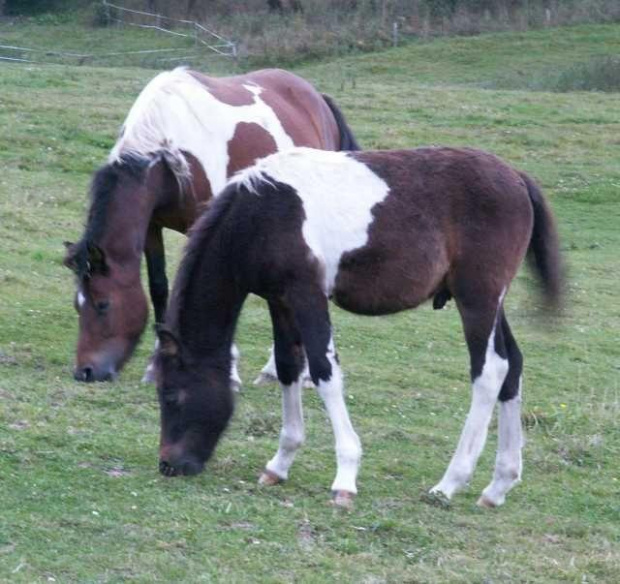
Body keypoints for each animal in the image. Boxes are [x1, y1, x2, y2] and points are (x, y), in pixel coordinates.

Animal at [63, 67, 358, 384]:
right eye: (77, 304)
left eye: (103, 304)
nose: (85, 371)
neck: (168, 151)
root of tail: (317, 99)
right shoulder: (151, 227)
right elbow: (159, 288)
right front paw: (156, 366)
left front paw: (229, 371)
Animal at [154, 145, 560, 506]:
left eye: (172, 395)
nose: (169, 465)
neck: (261, 214)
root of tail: (518, 178)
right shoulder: (279, 300)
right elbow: (287, 366)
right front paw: (279, 465)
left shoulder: (307, 294)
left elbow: (324, 371)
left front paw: (345, 480)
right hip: (492, 303)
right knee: (513, 365)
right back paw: (498, 485)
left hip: (477, 298)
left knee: (490, 371)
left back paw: (449, 483)